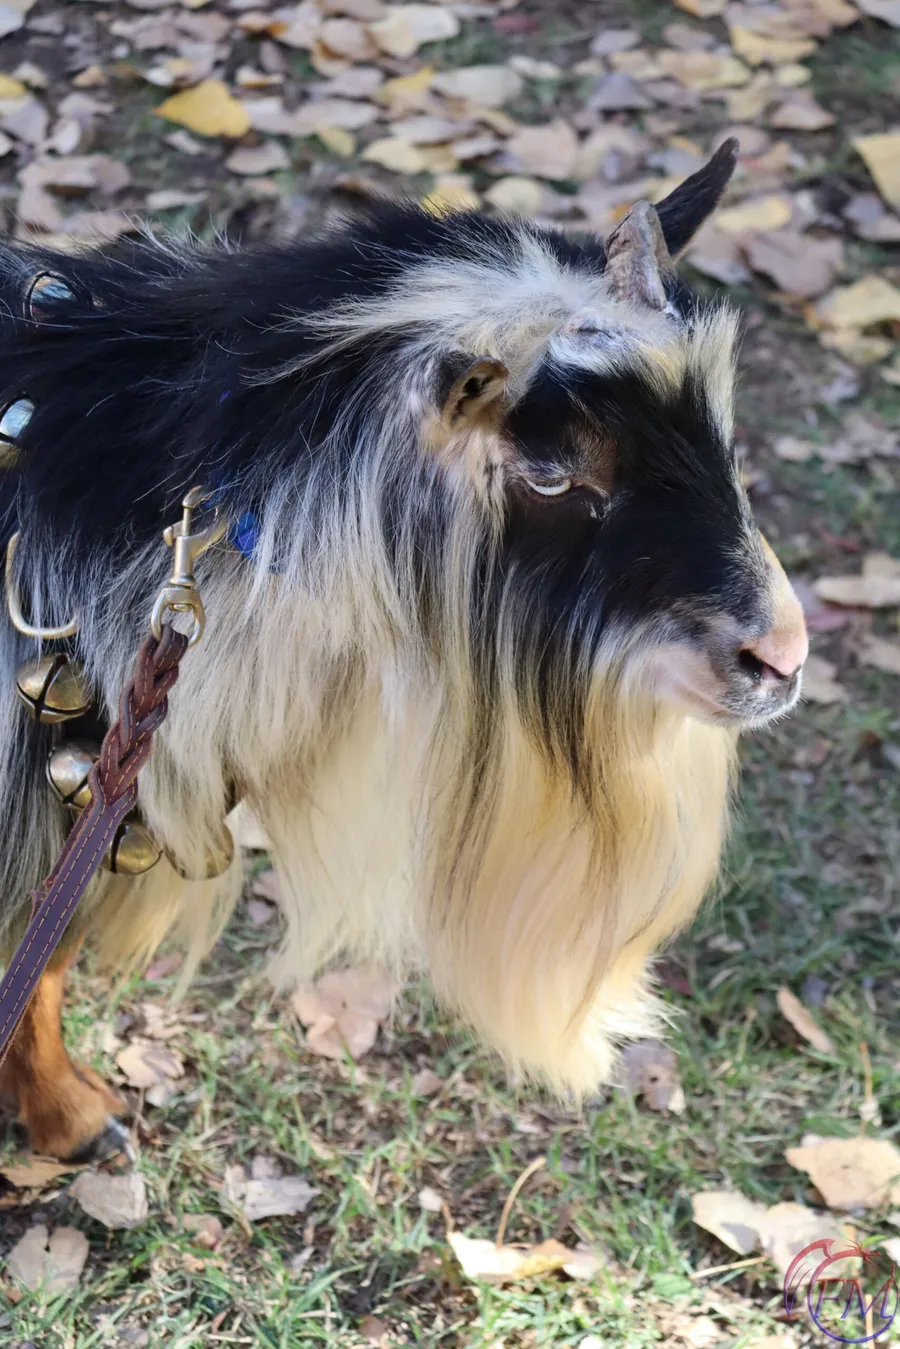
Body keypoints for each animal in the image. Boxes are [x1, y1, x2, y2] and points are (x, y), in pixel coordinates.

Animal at [0, 140, 808, 1161]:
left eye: (716, 436)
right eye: (552, 475)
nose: (781, 656)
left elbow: (43, 953)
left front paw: (62, 1112)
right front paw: (71, 1115)